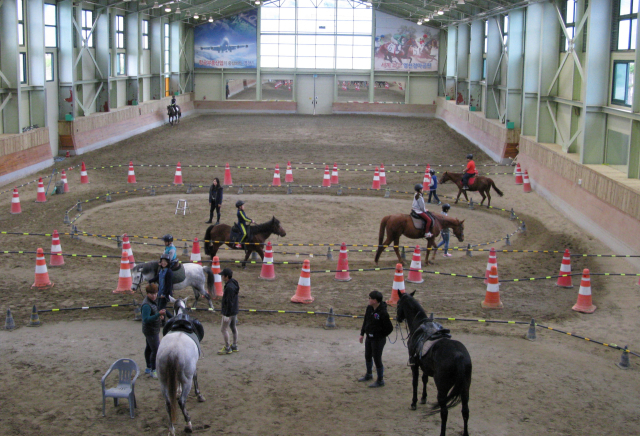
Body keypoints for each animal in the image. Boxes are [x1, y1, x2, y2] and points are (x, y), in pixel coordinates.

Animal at [156, 300, 204, 436]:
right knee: (181, 402)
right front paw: (199, 395)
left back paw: (171, 430)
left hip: (163, 380)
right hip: (187, 381)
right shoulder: (192, 369)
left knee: (168, 403)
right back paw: (188, 424)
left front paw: (177, 390)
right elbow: (195, 377)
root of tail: (173, 352)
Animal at [396, 290, 470, 436]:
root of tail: (459, 356)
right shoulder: (425, 366)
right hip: (465, 388)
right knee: (465, 411)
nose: (397, 318)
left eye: (397, 303)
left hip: (442, 388)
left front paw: (414, 402)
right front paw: (423, 398)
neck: (419, 325)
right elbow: (424, 379)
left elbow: (415, 382)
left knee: (444, 412)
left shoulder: (414, 363)